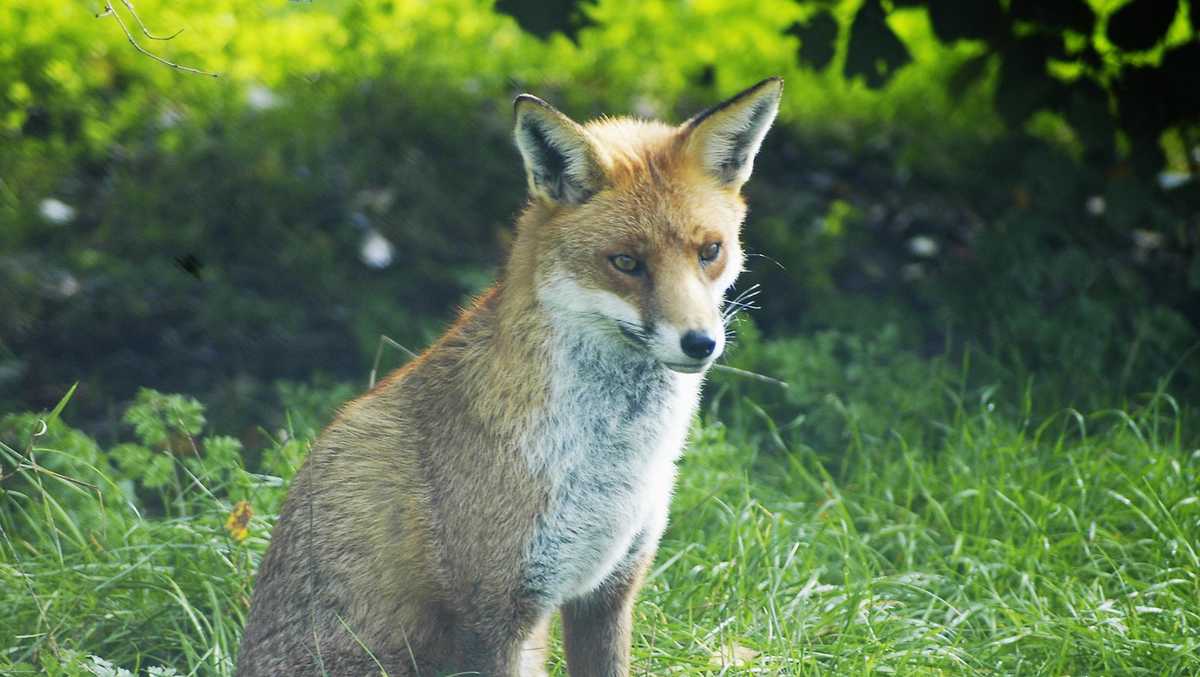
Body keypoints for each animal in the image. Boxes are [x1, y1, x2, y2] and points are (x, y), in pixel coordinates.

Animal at [236, 77, 782, 676]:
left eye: (710, 251)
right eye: (626, 263)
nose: (701, 343)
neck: (611, 466)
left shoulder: (608, 588)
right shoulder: (492, 613)